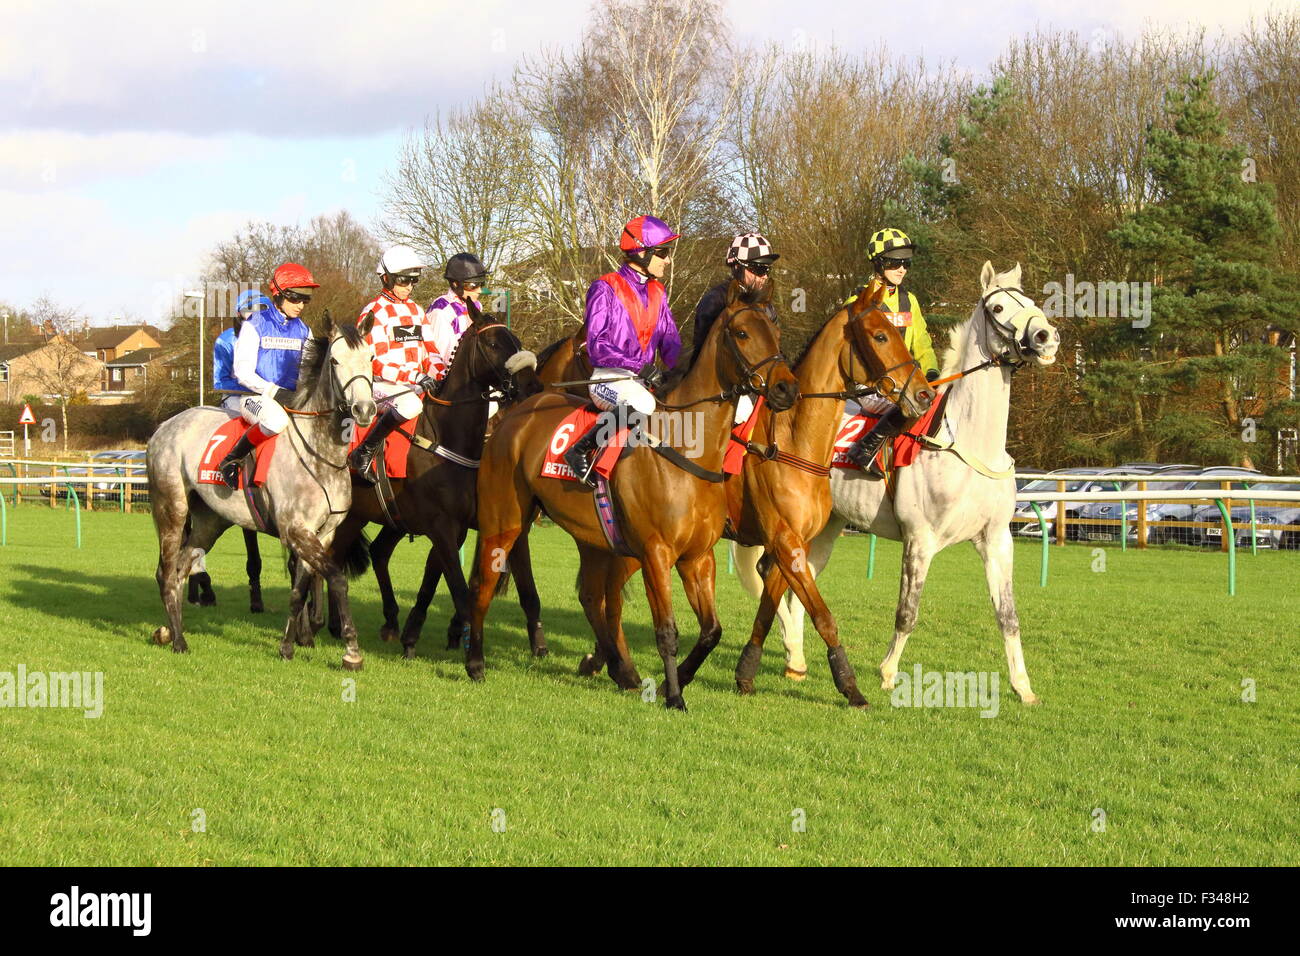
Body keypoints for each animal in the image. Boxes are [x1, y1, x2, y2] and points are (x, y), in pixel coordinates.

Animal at [145, 314, 377, 665]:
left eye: (371, 359)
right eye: (336, 361)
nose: (365, 409)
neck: (319, 455)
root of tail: (164, 426)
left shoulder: (321, 533)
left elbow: (299, 589)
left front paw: (288, 646)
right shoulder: (296, 530)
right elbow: (336, 579)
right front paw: (351, 651)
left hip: (210, 522)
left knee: (182, 567)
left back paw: (169, 632)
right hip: (171, 508)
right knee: (165, 572)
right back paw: (179, 641)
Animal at [462, 283, 795, 712]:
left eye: (776, 332)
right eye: (741, 334)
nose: (787, 388)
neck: (688, 451)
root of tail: (514, 414)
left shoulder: (698, 558)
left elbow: (711, 631)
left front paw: (676, 681)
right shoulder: (655, 553)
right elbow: (667, 630)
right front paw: (674, 696)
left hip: (592, 538)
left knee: (592, 597)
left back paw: (622, 670)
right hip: (504, 520)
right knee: (483, 583)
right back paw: (475, 664)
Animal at [733, 261, 1055, 702]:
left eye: (1032, 301)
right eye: (999, 307)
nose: (1045, 336)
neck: (968, 444)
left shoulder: (996, 540)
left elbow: (1008, 616)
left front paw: (1023, 687)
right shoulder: (920, 539)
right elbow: (907, 613)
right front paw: (887, 673)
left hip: (826, 525)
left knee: (798, 577)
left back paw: (795, 657)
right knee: (772, 570)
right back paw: (793, 652)